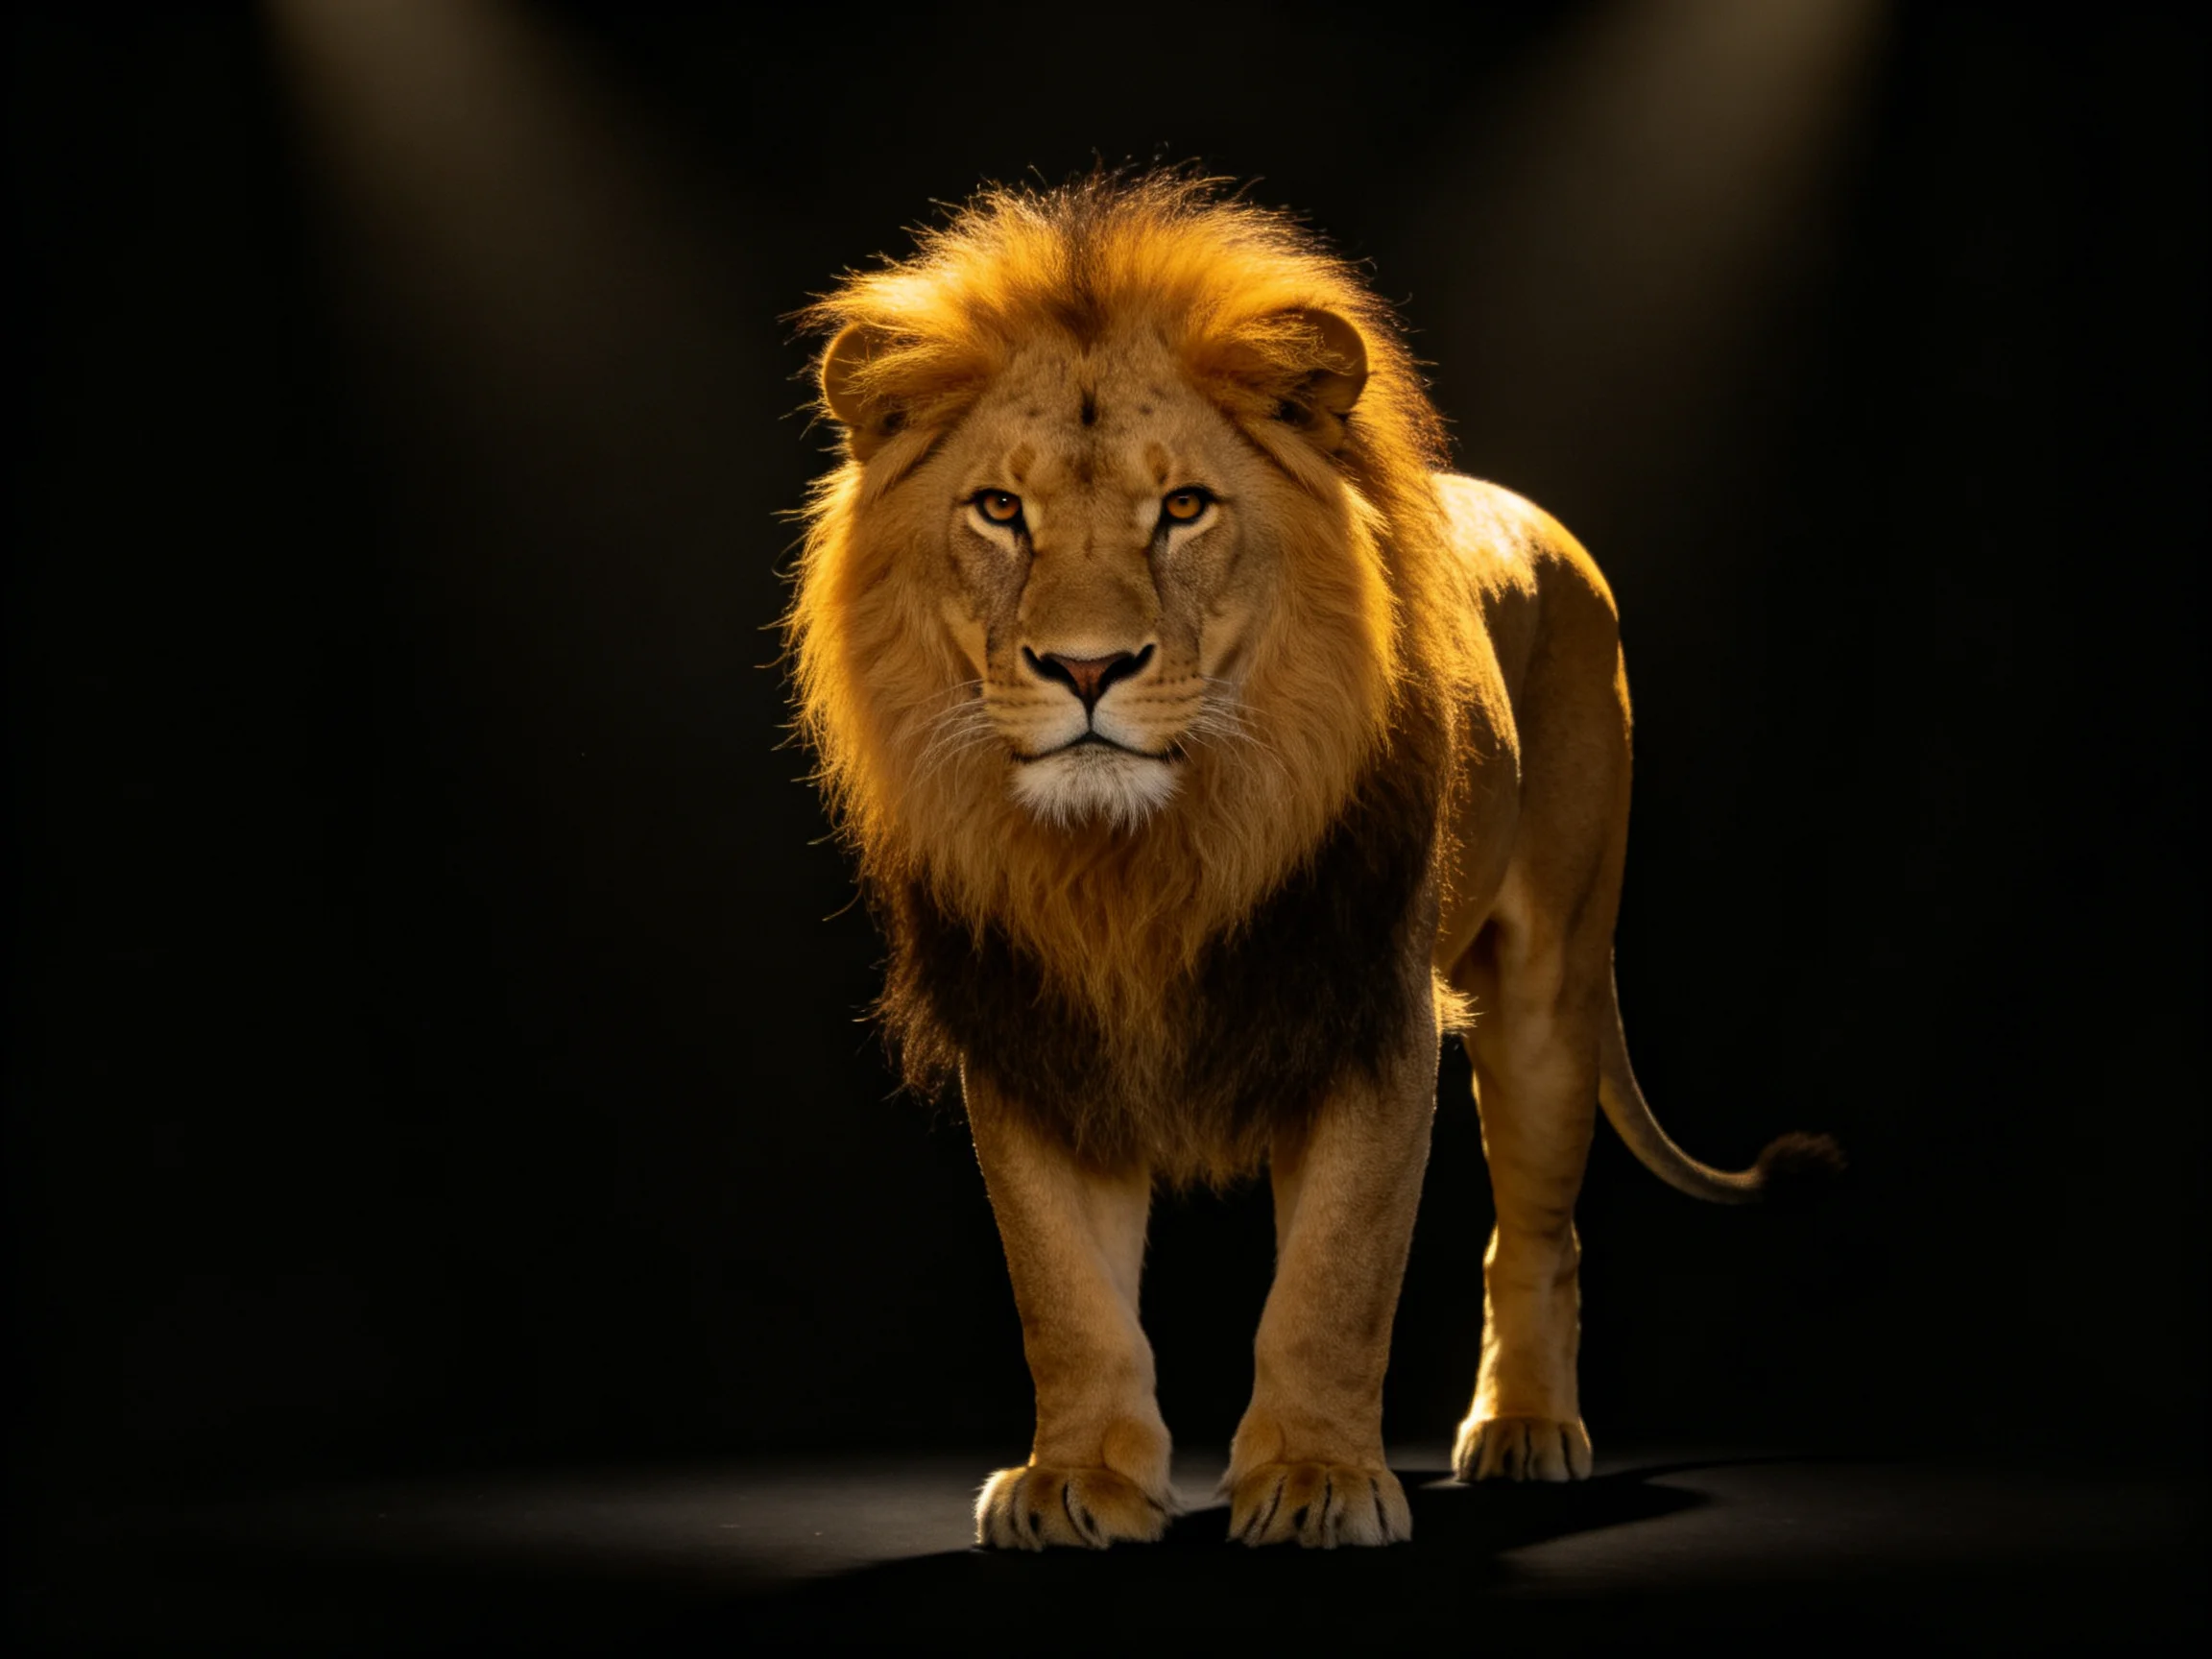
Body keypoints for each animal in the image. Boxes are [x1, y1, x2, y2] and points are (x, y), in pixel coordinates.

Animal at [786, 173, 1838, 1551]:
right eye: (1000, 510)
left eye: (1183, 507)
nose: (1085, 668)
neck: (1140, 858)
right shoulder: (1031, 1024)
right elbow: (1063, 1289)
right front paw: (1079, 1478)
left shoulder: (1369, 1008)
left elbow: (1336, 1276)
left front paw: (1318, 1477)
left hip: (1551, 983)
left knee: (1535, 1232)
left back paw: (1525, 1428)